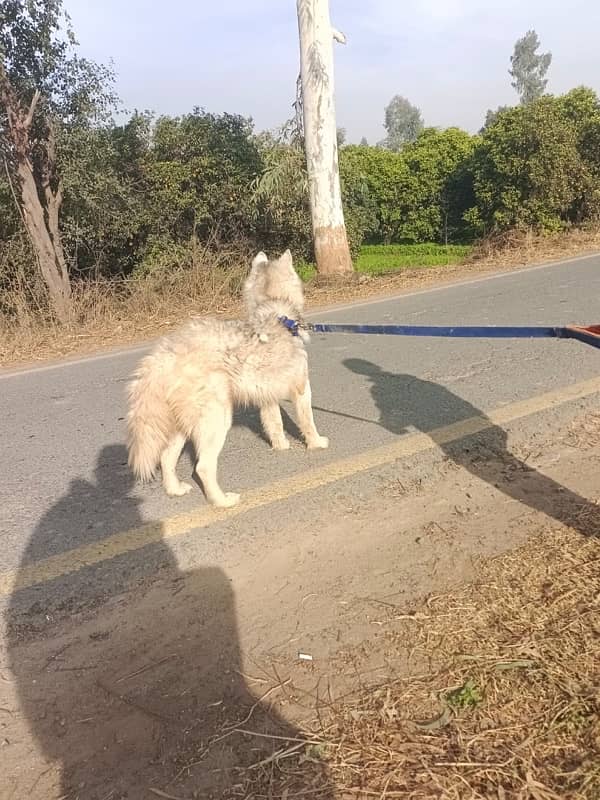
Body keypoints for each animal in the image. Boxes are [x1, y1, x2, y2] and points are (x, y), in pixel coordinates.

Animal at [123, 250, 326, 506]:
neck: (274, 308)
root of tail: (164, 356)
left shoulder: (267, 397)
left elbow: (274, 424)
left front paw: (281, 446)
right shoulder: (301, 388)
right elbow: (308, 422)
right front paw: (316, 443)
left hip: (183, 424)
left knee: (166, 457)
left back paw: (175, 489)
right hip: (216, 419)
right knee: (203, 467)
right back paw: (222, 501)